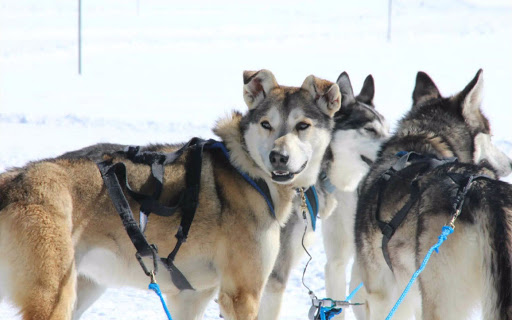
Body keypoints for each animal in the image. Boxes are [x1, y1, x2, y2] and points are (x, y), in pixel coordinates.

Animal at [1, 70, 344, 320]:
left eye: (303, 125)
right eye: (266, 124)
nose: (278, 157)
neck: (250, 172)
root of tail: (11, 181)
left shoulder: (191, 296)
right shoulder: (242, 294)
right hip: (55, 297)